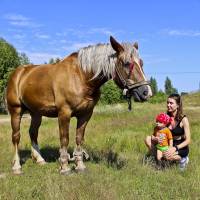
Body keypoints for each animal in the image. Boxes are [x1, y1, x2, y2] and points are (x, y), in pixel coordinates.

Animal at [6, 36, 152, 175]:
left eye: (141, 63)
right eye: (127, 63)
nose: (146, 93)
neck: (81, 76)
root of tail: (18, 73)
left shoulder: (85, 114)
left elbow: (79, 138)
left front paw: (80, 165)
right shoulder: (64, 113)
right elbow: (64, 138)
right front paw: (65, 168)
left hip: (36, 113)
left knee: (33, 133)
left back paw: (40, 160)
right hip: (16, 111)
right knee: (16, 137)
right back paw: (16, 167)